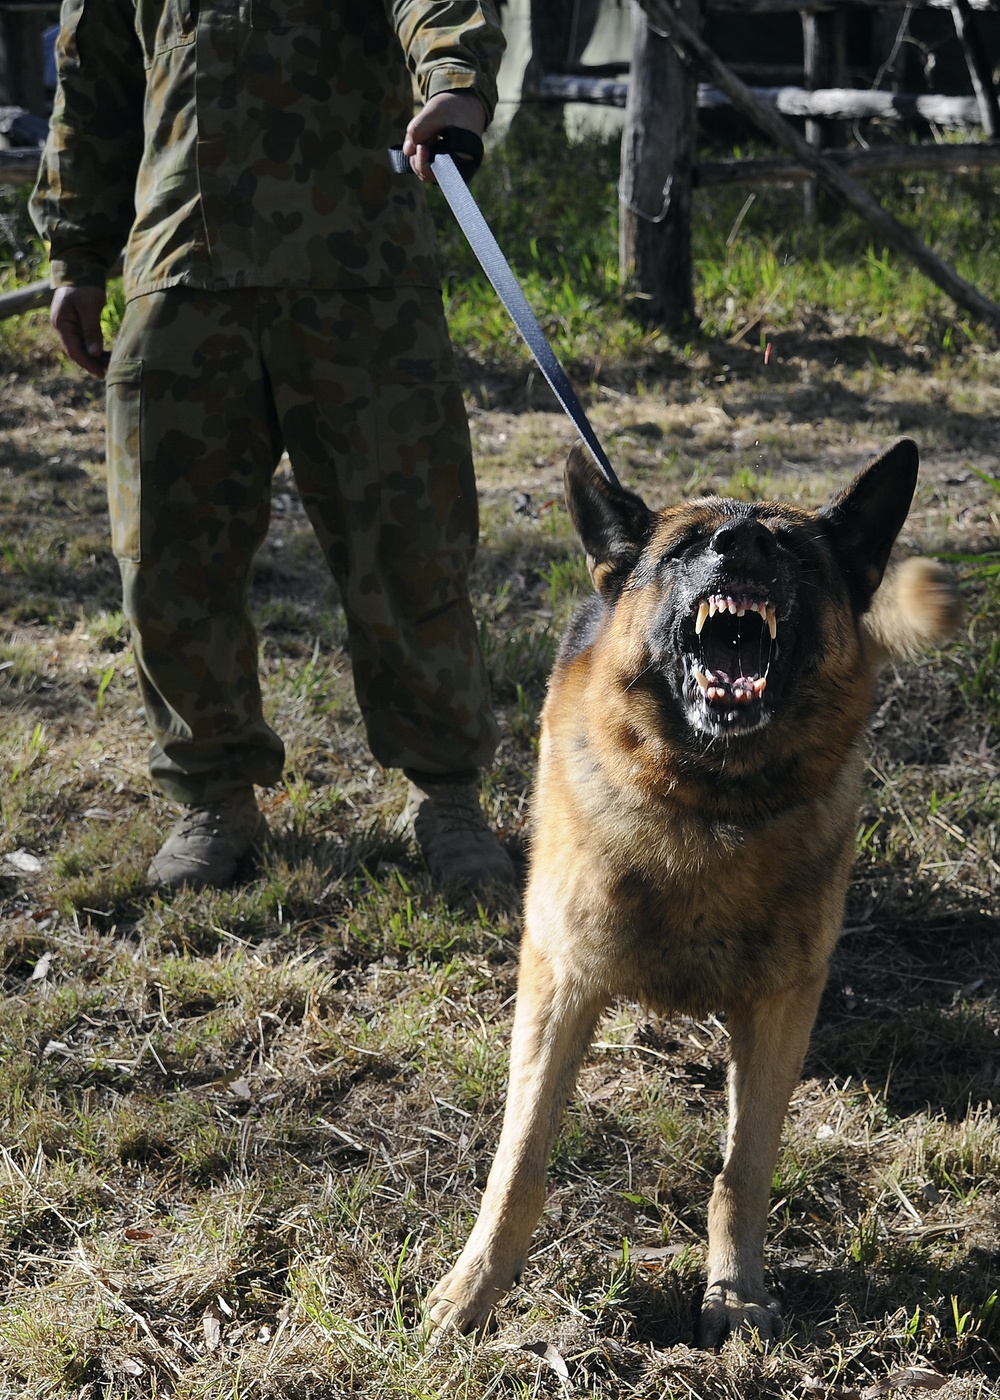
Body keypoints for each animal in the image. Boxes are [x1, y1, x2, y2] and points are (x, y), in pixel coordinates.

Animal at [425, 436, 957, 1344]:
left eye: (793, 550)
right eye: (682, 551)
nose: (740, 544)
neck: (713, 804)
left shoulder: (780, 1007)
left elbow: (743, 1170)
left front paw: (736, 1293)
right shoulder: (559, 986)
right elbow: (518, 1163)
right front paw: (473, 1290)